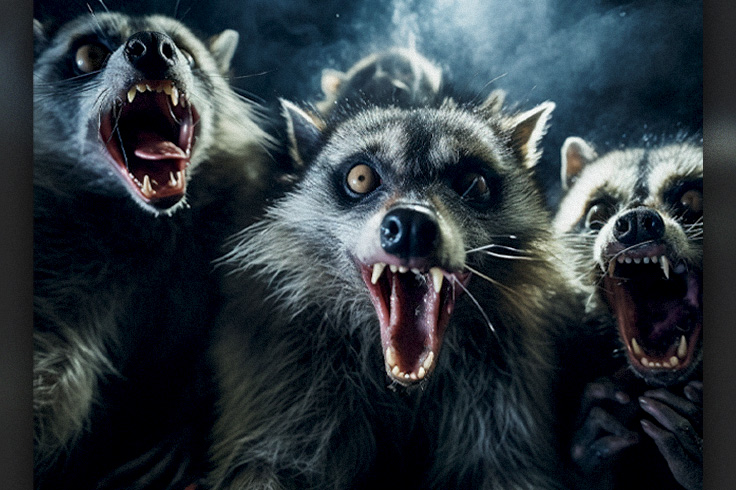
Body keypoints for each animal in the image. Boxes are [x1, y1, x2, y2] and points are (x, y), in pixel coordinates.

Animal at [33, 11, 272, 489]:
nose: (151, 47)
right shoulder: (53, 255)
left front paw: (188, 426)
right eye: (89, 54)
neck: (146, 220)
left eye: (185, 52)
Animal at [207, 95, 584, 489]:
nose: (412, 224)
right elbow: (262, 464)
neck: (404, 387)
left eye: (472, 183)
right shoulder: (288, 377)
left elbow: (511, 468)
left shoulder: (505, 385)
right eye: (360, 178)